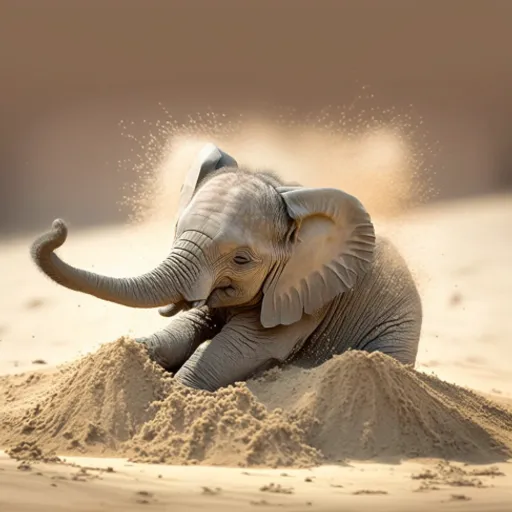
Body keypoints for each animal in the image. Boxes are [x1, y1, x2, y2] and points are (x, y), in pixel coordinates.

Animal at [33, 142, 424, 390]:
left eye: (241, 259)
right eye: (177, 231)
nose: (58, 226)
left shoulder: (306, 298)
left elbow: (241, 347)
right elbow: (186, 330)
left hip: (397, 332)